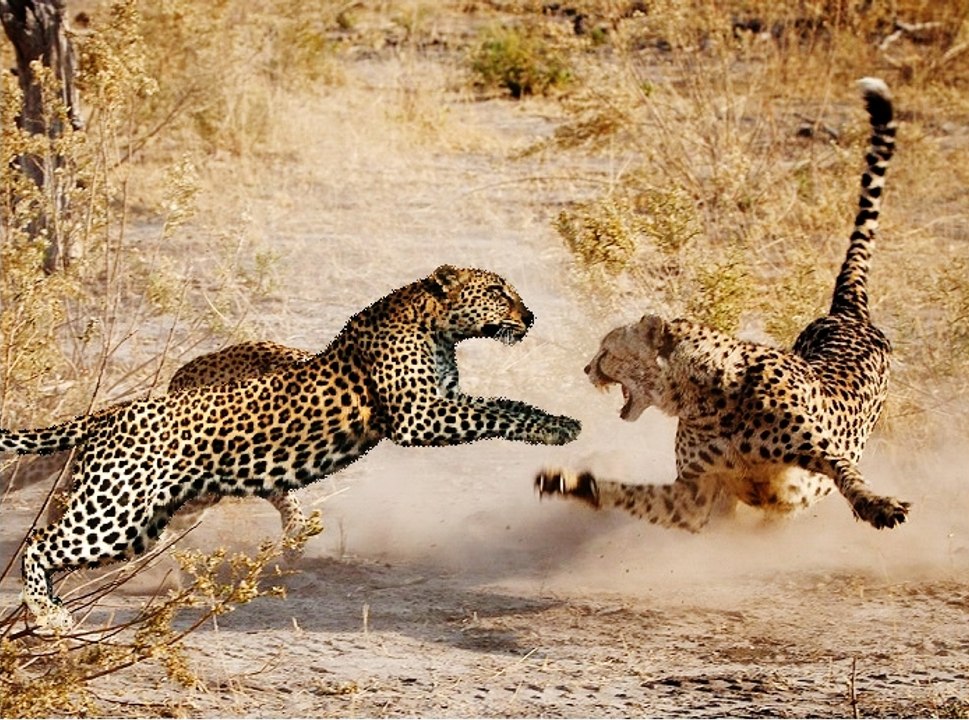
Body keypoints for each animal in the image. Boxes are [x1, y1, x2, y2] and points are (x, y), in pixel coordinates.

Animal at [0, 264, 581, 630]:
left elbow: (501, 403)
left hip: (147, 514)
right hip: (116, 510)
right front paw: (556, 427)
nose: (529, 317)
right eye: (498, 292)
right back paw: (48, 614)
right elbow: (497, 411)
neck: (436, 326)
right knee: (41, 542)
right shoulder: (421, 416)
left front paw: (557, 424)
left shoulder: (443, 401)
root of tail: (112, 411)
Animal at [536, 78, 910, 534]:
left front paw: (877, 505)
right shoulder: (696, 497)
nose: (587, 368)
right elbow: (633, 494)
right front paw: (571, 483)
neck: (706, 398)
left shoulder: (818, 452)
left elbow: (843, 471)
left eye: (607, 350)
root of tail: (845, 312)